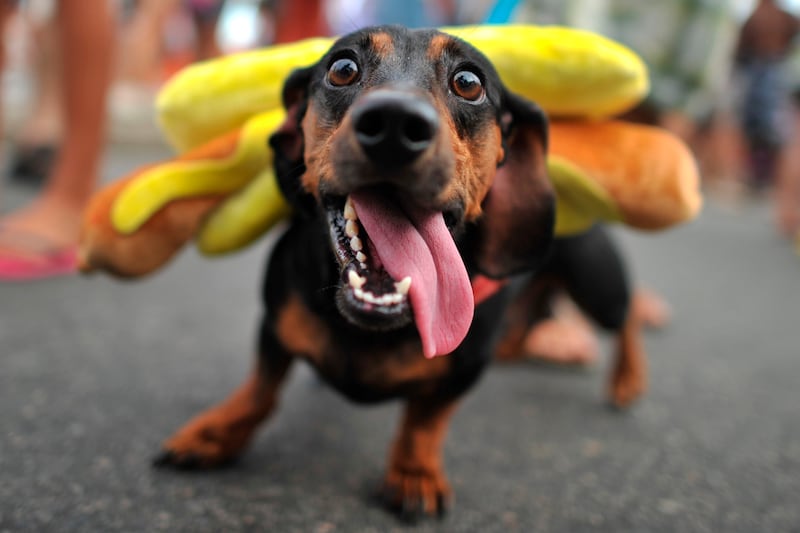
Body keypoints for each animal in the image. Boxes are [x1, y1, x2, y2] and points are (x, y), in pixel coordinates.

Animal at [155, 25, 644, 516]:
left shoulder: (463, 372)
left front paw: (414, 473)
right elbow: (260, 389)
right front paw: (215, 434)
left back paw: (627, 380)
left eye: (469, 82)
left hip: (597, 285)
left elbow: (425, 421)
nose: (394, 125)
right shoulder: (275, 324)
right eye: (342, 67)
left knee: (627, 317)